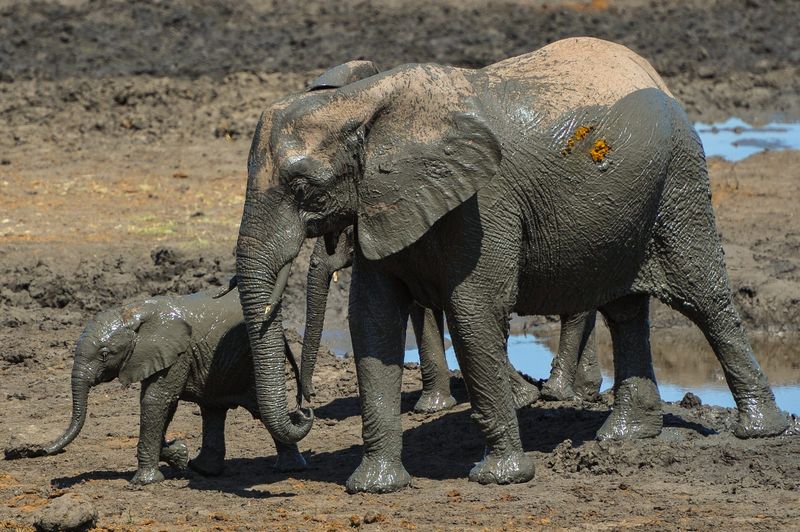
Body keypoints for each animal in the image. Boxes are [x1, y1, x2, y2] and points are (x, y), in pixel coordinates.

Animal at [5, 288, 306, 485]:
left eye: (104, 354)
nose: (30, 451)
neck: (134, 313)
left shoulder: (178, 352)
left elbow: (156, 400)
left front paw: (145, 482)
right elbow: (158, 405)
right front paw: (179, 455)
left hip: (247, 360)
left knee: (257, 406)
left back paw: (288, 469)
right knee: (212, 409)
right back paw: (203, 470)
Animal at [299, 227, 600, 411]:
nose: (310, 397)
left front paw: (523, 398)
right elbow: (423, 308)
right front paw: (431, 407)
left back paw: (555, 392)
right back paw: (584, 393)